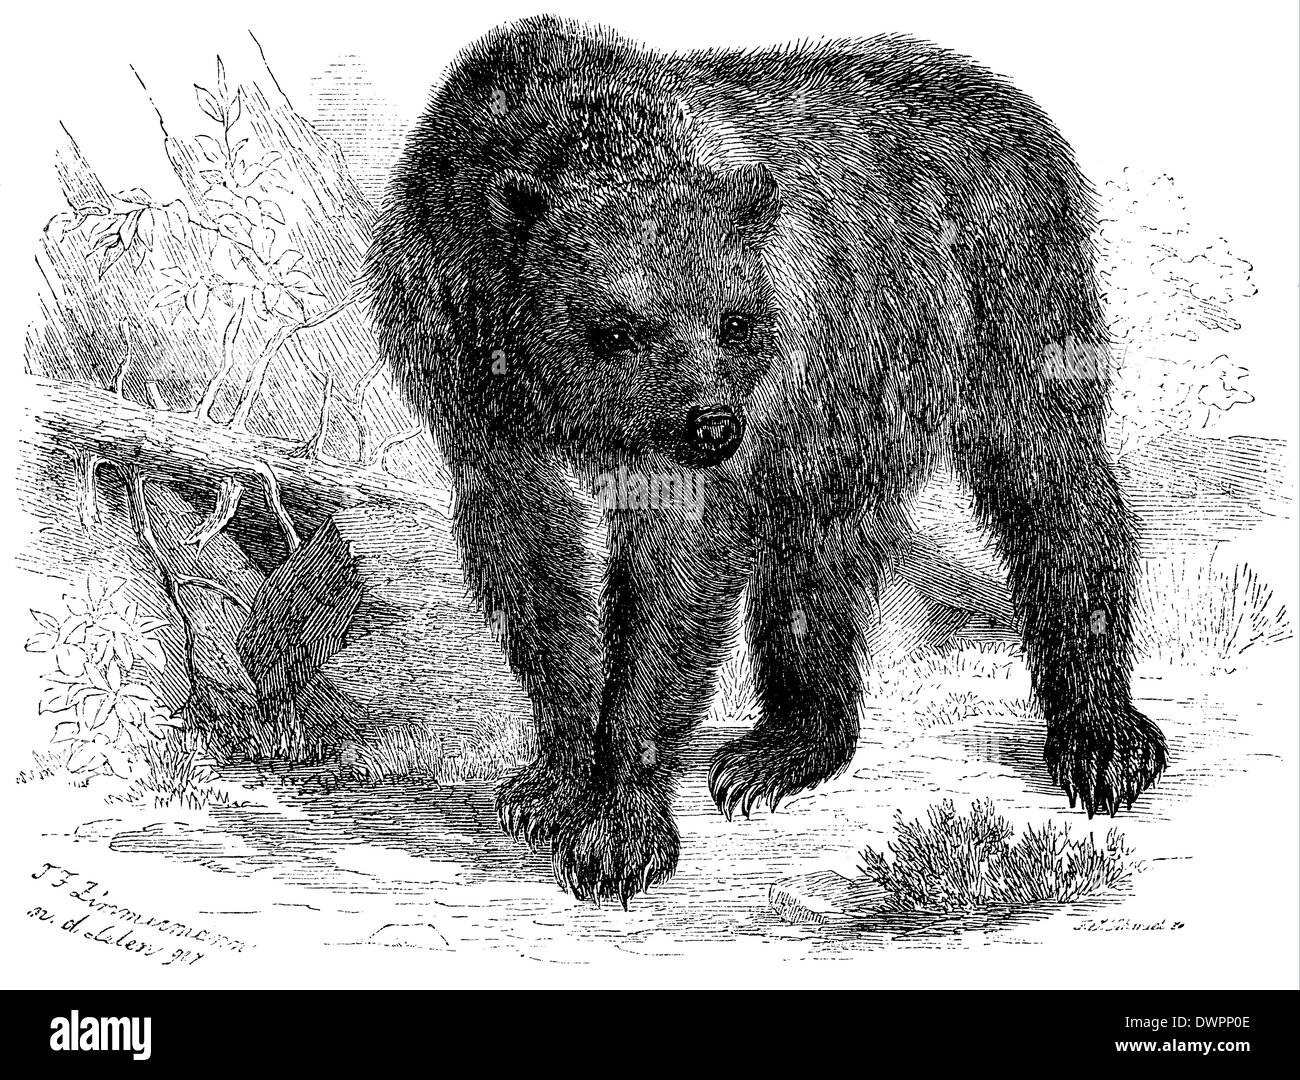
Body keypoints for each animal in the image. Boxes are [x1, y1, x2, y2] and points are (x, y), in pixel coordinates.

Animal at [366, 15, 1168, 905]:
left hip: (1005, 286)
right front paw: (552, 784)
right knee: (817, 552)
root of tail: (1010, 99)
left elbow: (672, 577)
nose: (713, 426)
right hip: (847, 397)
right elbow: (531, 565)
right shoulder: (463, 375)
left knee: (1049, 478)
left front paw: (618, 830)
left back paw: (1101, 739)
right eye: (617, 328)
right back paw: (779, 749)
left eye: (735, 320)